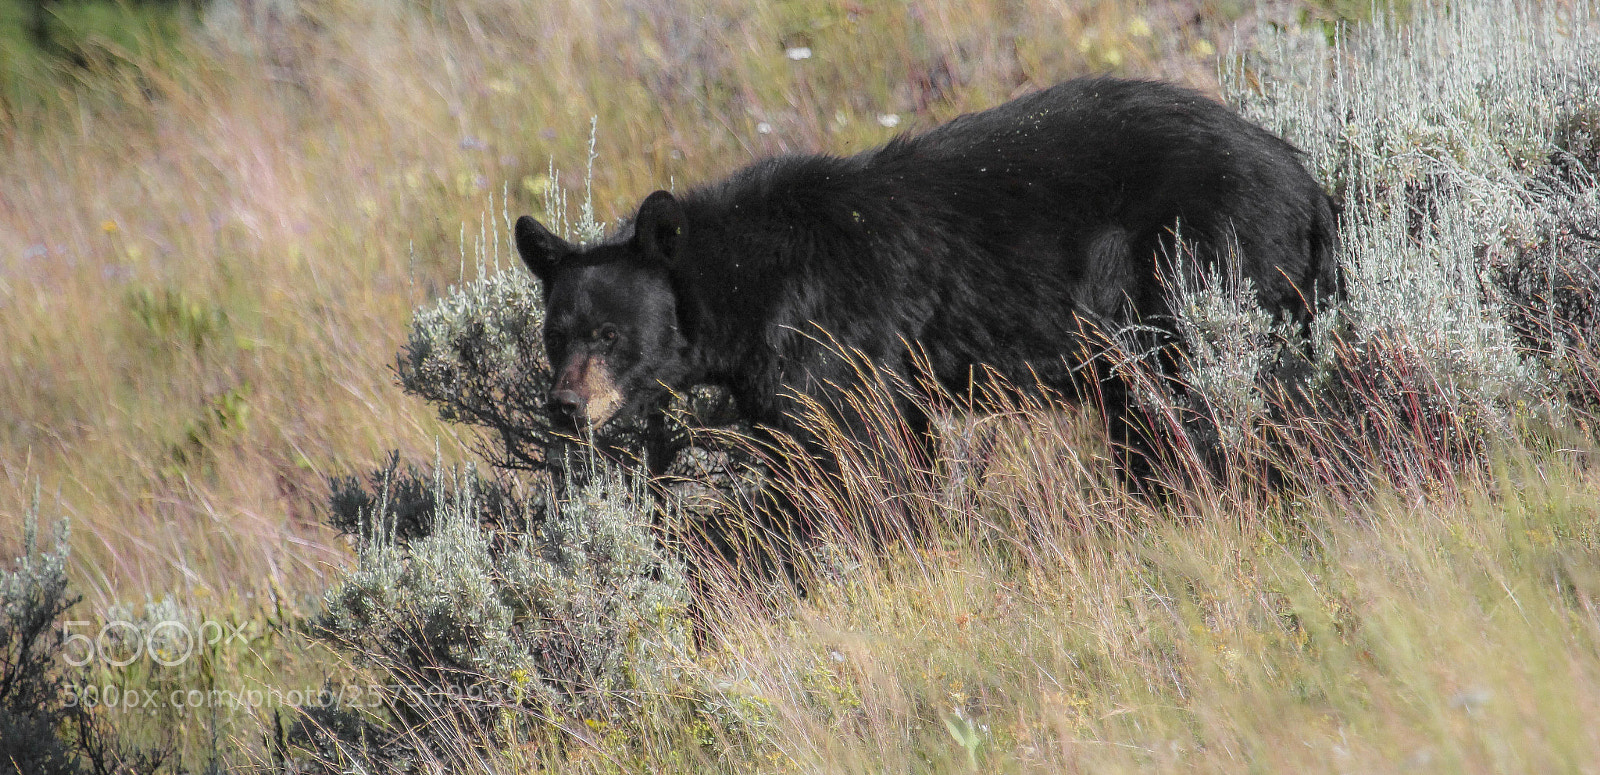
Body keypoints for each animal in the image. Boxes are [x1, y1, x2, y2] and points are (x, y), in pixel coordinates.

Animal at [513, 77, 1339, 485]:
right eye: (555, 335)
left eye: (610, 334)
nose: (564, 406)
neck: (749, 282)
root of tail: (1306, 182)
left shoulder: (831, 338)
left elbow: (853, 451)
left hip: (1200, 266)